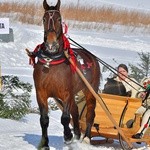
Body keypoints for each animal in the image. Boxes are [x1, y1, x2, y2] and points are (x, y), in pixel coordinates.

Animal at [33, 0, 100, 149]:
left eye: (59, 19)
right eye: (44, 19)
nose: (51, 43)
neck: (51, 61)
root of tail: (91, 56)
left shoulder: (67, 93)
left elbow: (64, 118)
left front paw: (68, 136)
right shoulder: (41, 93)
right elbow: (44, 119)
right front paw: (45, 143)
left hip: (90, 89)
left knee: (90, 113)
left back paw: (86, 138)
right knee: (75, 111)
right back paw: (77, 135)